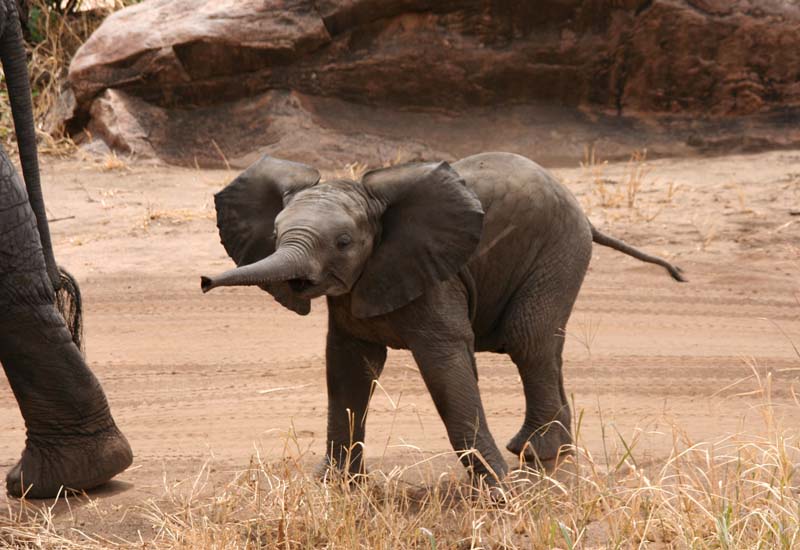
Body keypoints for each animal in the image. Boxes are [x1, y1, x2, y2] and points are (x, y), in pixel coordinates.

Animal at [200, 153, 680, 486]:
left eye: (343, 242)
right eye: (275, 234)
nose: (204, 281)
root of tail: (585, 216)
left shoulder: (435, 278)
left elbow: (444, 368)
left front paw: (499, 490)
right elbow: (348, 370)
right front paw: (333, 487)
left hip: (558, 251)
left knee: (529, 340)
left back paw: (537, 456)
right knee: (543, 345)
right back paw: (547, 450)